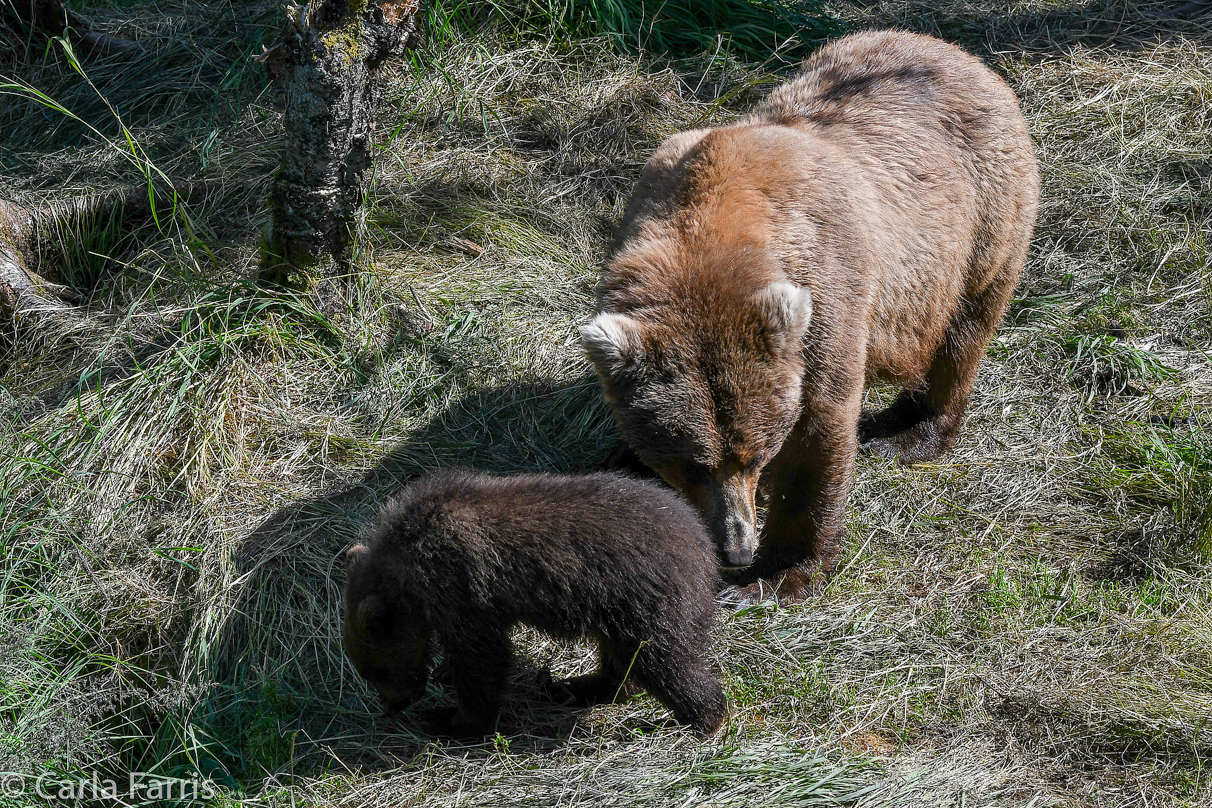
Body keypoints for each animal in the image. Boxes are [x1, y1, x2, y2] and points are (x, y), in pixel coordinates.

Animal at [581, 29, 1037, 600]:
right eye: (690, 464)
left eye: (754, 454)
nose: (735, 548)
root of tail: (955, 53)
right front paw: (624, 463)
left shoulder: (826, 295)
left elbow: (819, 429)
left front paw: (778, 571)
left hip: (981, 222)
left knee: (963, 332)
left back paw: (908, 432)